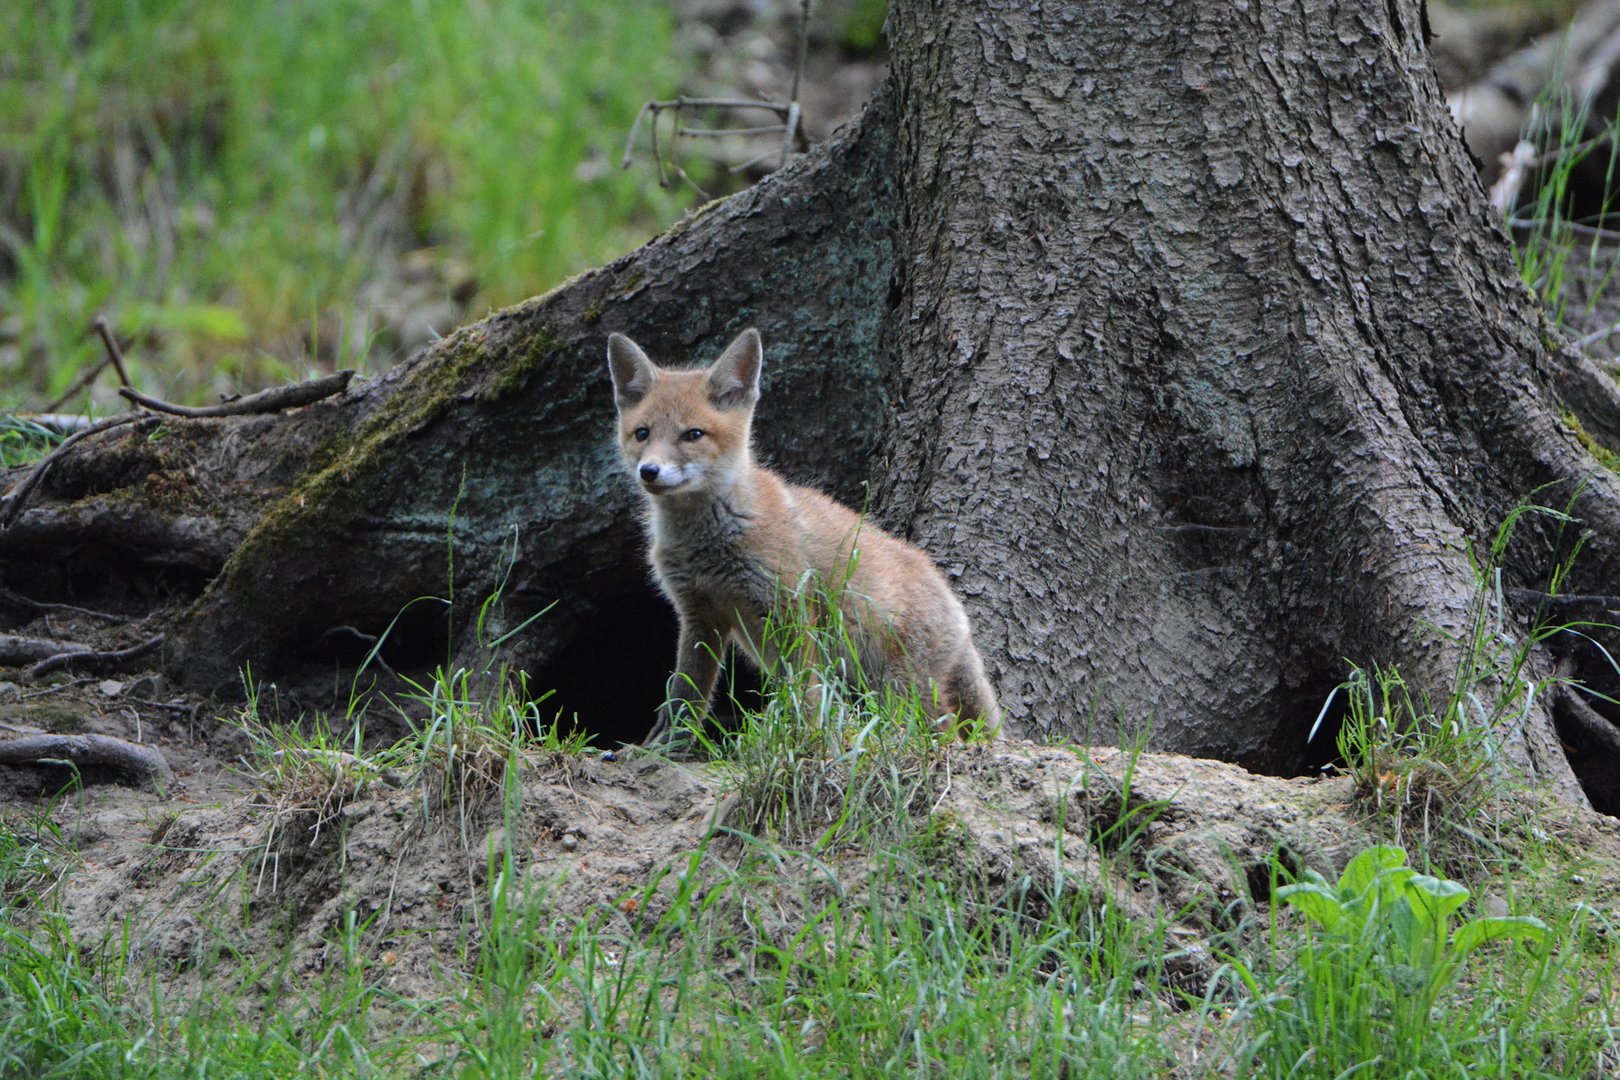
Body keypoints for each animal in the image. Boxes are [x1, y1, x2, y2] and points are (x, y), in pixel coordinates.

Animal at [602, 327, 991, 744]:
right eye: (642, 434)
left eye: (693, 434)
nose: (649, 471)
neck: (709, 543)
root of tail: (952, 600)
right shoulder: (699, 616)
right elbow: (684, 697)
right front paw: (663, 746)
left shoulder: (788, 606)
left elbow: (806, 690)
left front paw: (809, 736)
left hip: (897, 687)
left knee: (942, 729)